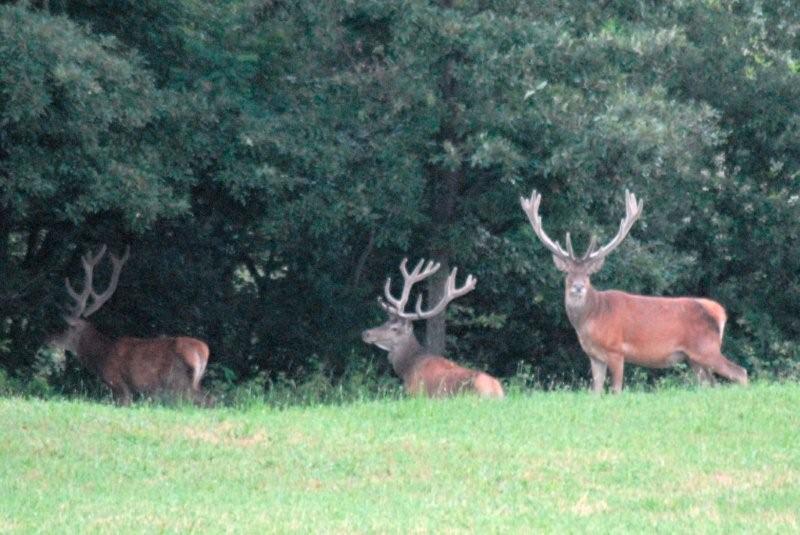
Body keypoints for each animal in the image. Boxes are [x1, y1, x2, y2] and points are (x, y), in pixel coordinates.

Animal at [45, 247, 211, 406]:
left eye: (66, 327)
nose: (49, 339)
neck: (103, 355)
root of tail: (203, 351)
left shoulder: (118, 383)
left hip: (178, 381)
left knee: (205, 399)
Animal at [364, 260, 504, 398]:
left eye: (394, 328)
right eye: (386, 322)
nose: (366, 333)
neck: (407, 369)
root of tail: (497, 391)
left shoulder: (415, 393)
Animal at [520, 189, 748, 394]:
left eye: (588, 275)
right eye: (567, 273)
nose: (578, 286)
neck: (592, 318)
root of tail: (719, 312)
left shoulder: (616, 350)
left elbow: (616, 390)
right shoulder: (594, 356)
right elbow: (595, 391)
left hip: (706, 348)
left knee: (741, 372)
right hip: (694, 358)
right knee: (711, 384)